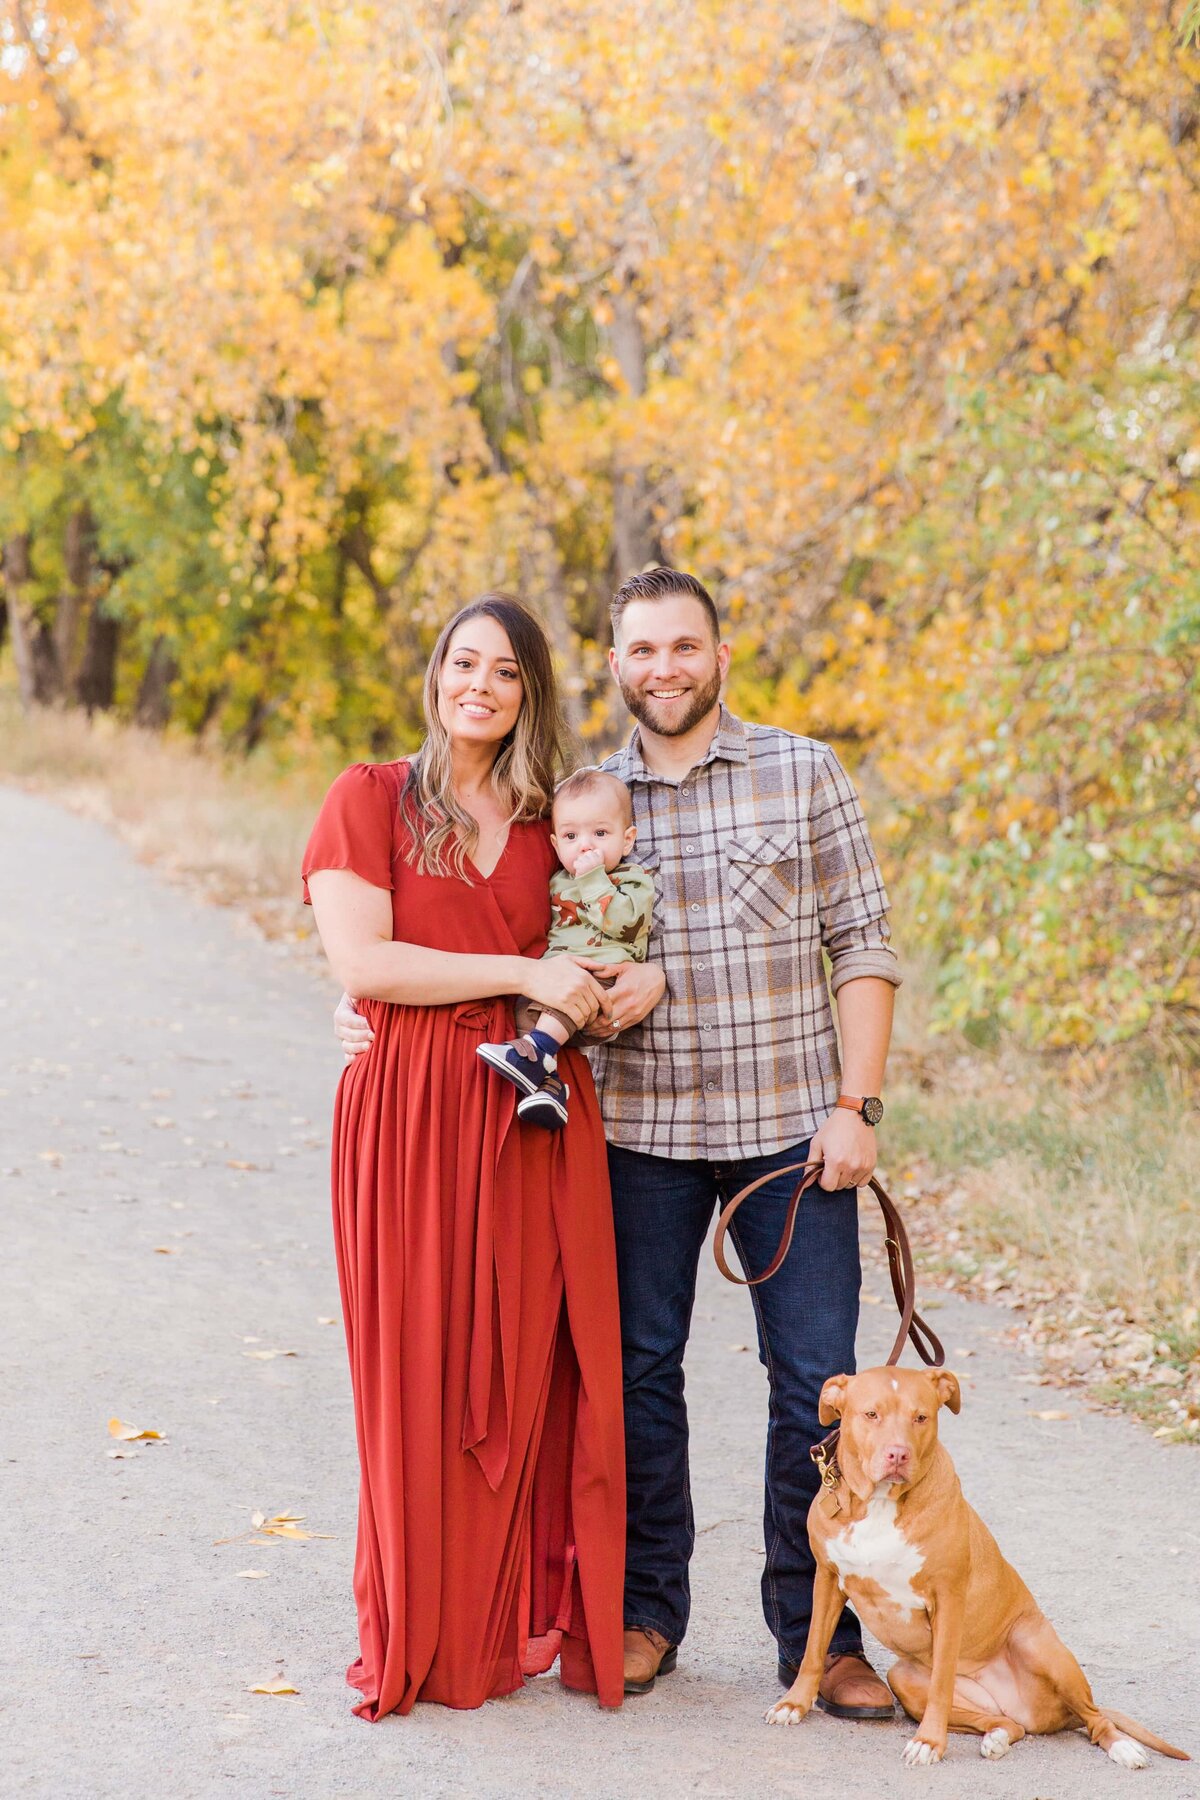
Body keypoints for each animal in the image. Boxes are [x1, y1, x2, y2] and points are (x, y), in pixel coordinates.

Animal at [766, 1368, 1187, 1764]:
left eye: (921, 1417)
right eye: (871, 1414)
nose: (898, 1454)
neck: (881, 1503)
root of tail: (1026, 1709)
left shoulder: (948, 1598)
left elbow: (941, 1683)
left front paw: (929, 1743)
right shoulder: (827, 1579)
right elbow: (813, 1650)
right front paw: (794, 1704)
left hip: (1035, 1645)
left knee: (1096, 1718)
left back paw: (1124, 1748)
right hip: (905, 1678)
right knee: (1008, 1724)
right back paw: (997, 1737)